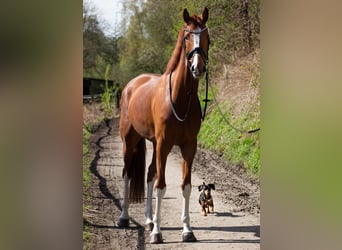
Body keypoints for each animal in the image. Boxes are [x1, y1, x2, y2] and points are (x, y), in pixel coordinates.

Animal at [118, 7, 208, 244]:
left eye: (206, 36)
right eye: (187, 36)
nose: (197, 67)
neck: (179, 98)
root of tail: (132, 84)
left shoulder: (188, 146)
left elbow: (186, 186)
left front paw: (187, 230)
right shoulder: (164, 144)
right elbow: (161, 187)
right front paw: (157, 233)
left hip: (154, 144)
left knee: (149, 174)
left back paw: (149, 220)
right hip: (130, 141)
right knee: (127, 174)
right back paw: (124, 218)